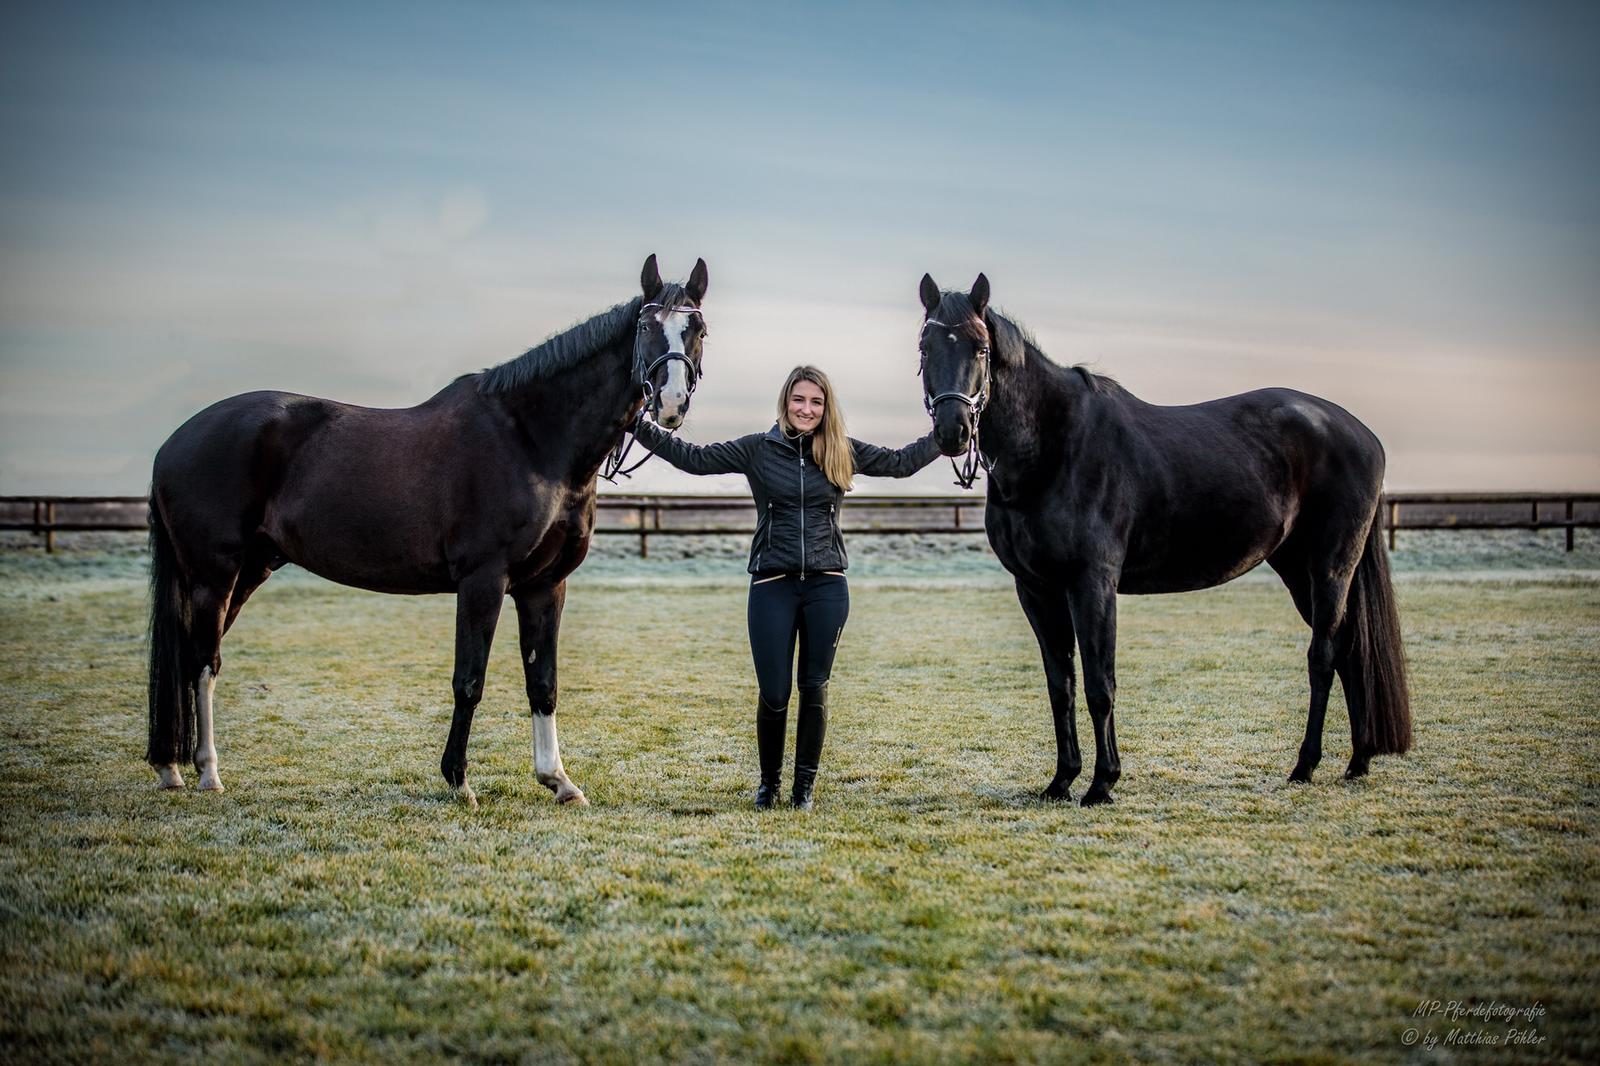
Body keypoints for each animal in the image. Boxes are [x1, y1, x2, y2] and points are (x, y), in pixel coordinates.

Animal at [147, 256, 710, 806]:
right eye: (645, 326)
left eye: (697, 328)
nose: (670, 404)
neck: (531, 439)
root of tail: (174, 441)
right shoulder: (483, 580)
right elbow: (470, 680)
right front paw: (459, 780)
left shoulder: (545, 587)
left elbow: (543, 683)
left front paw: (558, 780)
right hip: (214, 575)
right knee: (202, 663)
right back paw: (206, 772)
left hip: (249, 570)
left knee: (192, 659)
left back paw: (171, 767)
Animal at [921, 272, 1408, 806]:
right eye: (925, 346)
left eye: (981, 347)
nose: (952, 430)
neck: (1053, 447)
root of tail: (1360, 433)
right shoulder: (1036, 589)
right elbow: (1061, 686)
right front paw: (1062, 780)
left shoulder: (1092, 584)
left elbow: (1100, 684)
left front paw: (1102, 783)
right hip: (1298, 570)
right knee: (1349, 652)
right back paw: (1358, 761)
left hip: (1330, 568)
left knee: (1323, 658)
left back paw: (1306, 765)